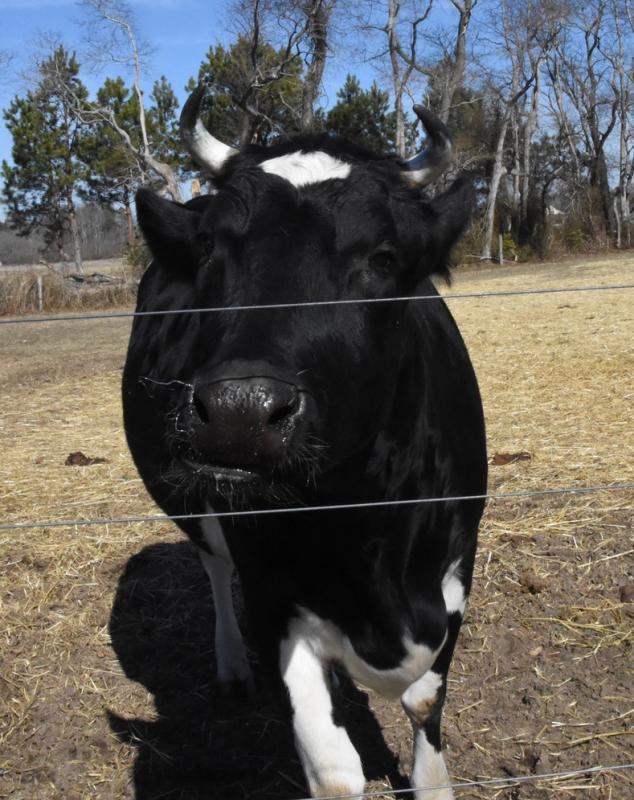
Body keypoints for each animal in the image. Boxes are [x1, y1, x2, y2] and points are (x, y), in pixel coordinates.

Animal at [122, 84, 487, 800]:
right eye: (209, 252)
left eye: (383, 258)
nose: (238, 411)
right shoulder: (274, 596)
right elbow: (334, 769)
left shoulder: (457, 563)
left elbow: (425, 701)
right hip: (193, 507)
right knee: (213, 566)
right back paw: (232, 668)